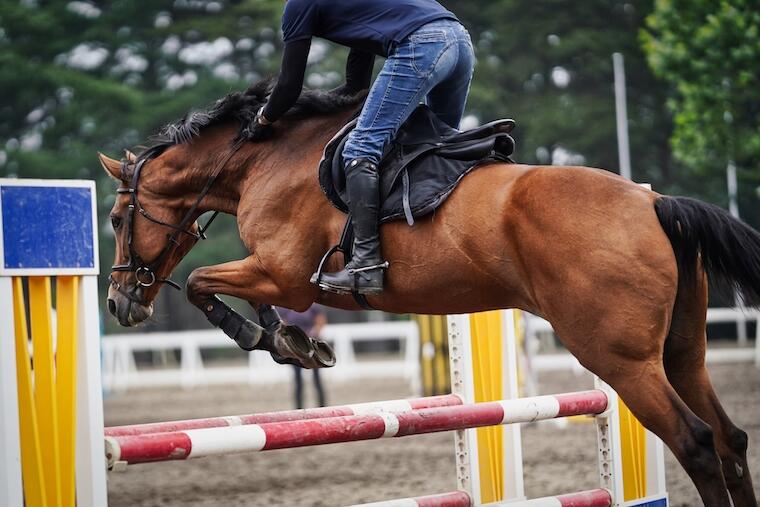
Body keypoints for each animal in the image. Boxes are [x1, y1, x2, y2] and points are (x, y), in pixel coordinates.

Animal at [101, 80, 760, 507]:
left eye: (114, 219)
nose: (118, 303)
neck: (269, 159)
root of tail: (653, 202)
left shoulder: (281, 271)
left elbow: (203, 285)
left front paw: (267, 336)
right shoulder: (272, 274)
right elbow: (238, 299)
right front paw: (292, 341)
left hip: (622, 361)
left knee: (698, 443)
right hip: (681, 355)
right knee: (730, 438)